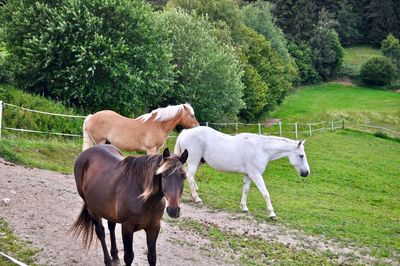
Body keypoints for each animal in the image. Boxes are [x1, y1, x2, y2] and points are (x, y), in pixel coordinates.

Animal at [173, 125, 310, 219]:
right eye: (301, 155)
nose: (306, 173)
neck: (261, 148)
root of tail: (185, 132)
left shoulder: (248, 175)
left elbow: (246, 190)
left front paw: (244, 207)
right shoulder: (256, 175)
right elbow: (265, 193)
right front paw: (271, 213)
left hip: (197, 162)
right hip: (194, 161)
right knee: (190, 176)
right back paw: (197, 198)